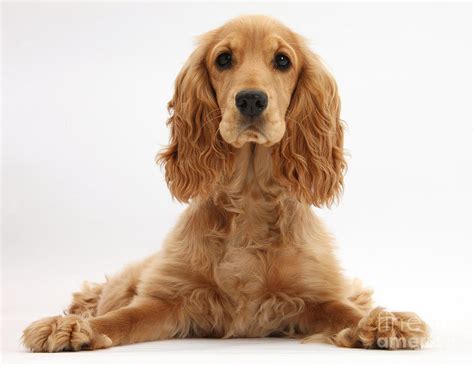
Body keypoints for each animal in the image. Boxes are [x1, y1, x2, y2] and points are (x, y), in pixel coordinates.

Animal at [23, 16, 430, 352]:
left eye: (282, 60)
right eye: (223, 59)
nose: (250, 100)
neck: (249, 196)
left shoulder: (316, 295)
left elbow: (346, 311)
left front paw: (384, 322)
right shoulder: (168, 297)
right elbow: (124, 318)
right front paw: (72, 328)